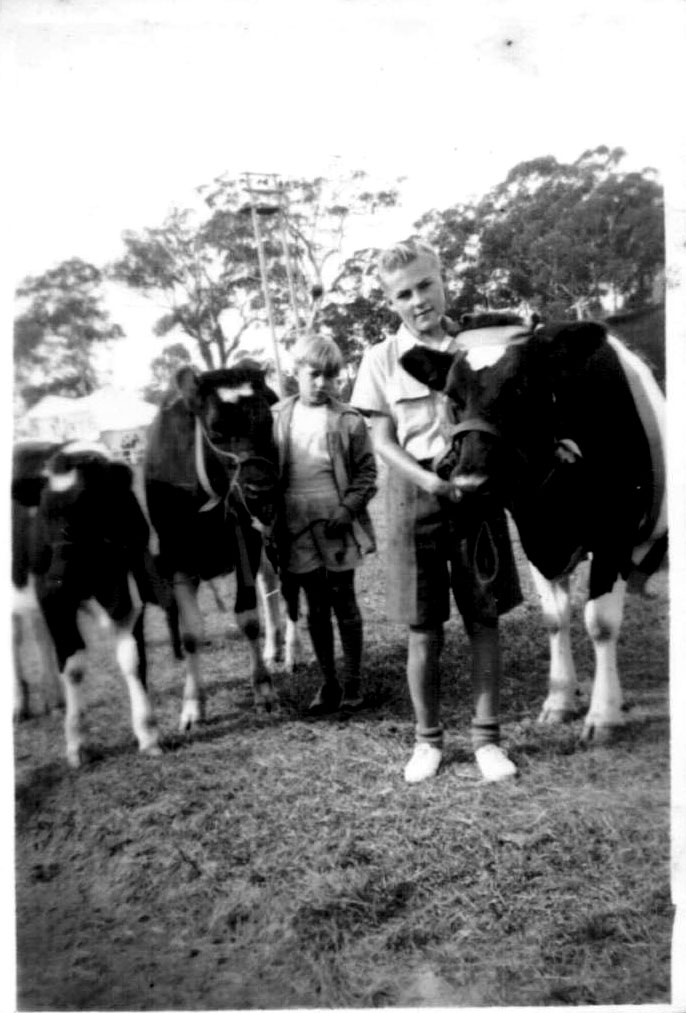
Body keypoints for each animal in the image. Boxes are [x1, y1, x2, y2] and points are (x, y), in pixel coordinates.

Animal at [12, 439, 161, 766]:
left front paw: (148, 734)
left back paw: (54, 699)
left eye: (87, 510)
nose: (57, 579)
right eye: (43, 516)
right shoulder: (54, 600)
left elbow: (134, 660)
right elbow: (73, 665)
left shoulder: (131, 593)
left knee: (40, 636)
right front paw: (77, 743)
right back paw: (19, 705)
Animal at [144, 363, 282, 730]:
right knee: (269, 587)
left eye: (267, 422)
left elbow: (248, 618)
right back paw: (274, 649)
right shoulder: (176, 560)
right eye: (216, 432)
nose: (260, 488)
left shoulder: (246, 539)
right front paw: (193, 705)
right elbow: (190, 634)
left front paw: (263, 689)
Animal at [400, 313, 667, 743]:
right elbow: (555, 619)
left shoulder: (616, 534)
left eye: (521, 389)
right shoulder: (535, 536)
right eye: (453, 399)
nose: (470, 484)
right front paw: (559, 700)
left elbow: (600, 623)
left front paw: (604, 715)